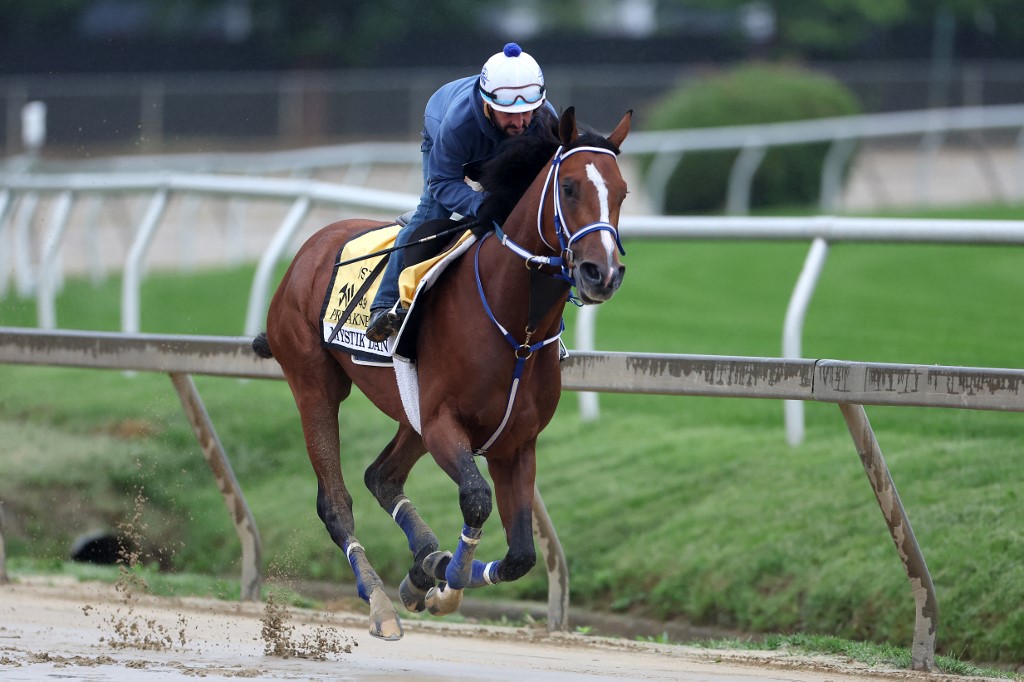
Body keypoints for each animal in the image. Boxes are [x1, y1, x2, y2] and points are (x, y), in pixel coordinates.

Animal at [251, 107, 626, 638]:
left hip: (411, 416)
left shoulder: (515, 442)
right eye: (570, 187)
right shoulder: (445, 425)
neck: (518, 329)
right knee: (335, 503)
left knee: (382, 476)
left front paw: (432, 575)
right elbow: (476, 498)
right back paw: (380, 603)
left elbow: (521, 555)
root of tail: (311, 247)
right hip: (314, 386)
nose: (602, 273)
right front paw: (446, 586)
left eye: (622, 191)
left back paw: (424, 562)